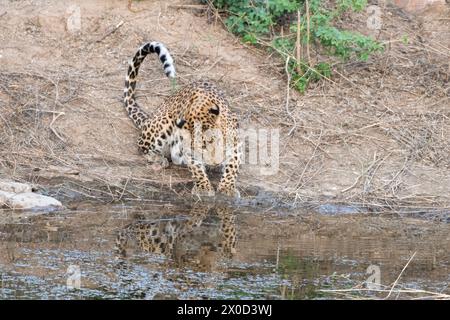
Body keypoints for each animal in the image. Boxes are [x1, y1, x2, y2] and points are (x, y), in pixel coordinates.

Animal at [122, 41, 243, 196]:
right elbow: (196, 168)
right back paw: (158, 159)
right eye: (201, 147)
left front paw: (227, 188)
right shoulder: (188, 149)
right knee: (141, 145)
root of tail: (149, 119)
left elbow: (232, 166)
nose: (215, 163)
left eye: (212, 141)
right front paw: (204, 188)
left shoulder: (236, 144)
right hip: (163, 124)